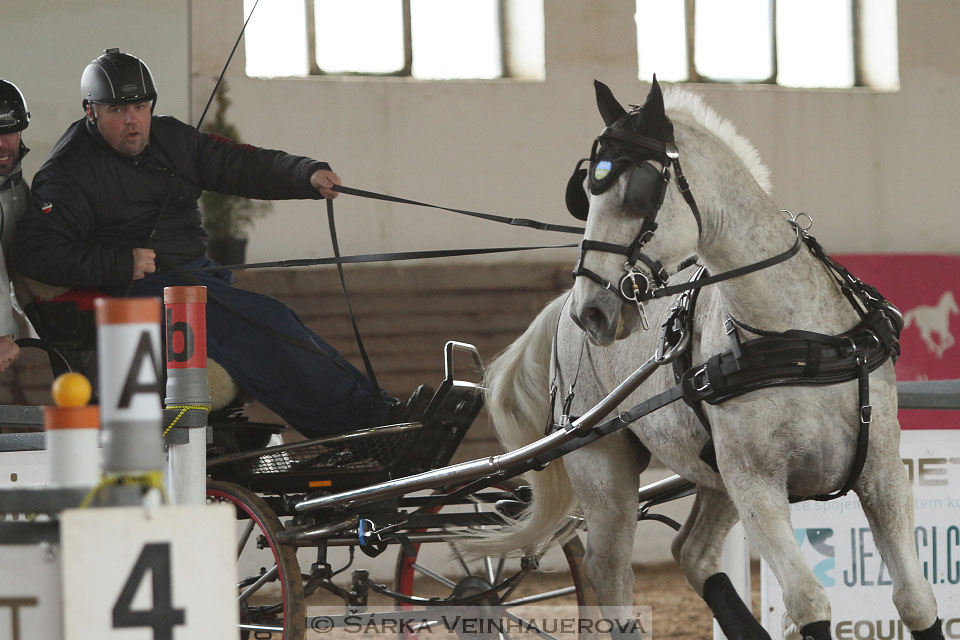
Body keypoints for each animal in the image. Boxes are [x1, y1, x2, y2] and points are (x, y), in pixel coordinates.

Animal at [476, 81, 940, 640]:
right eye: (586, 191)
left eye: (637, 191)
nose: (594, 309)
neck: (798, 339)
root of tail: (560, 308)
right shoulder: (756, 484)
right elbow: (808, 600)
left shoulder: (882, 472)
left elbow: (916, 599)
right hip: (603, 469)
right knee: (608, 571)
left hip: (713, 477)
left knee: (691, 552)